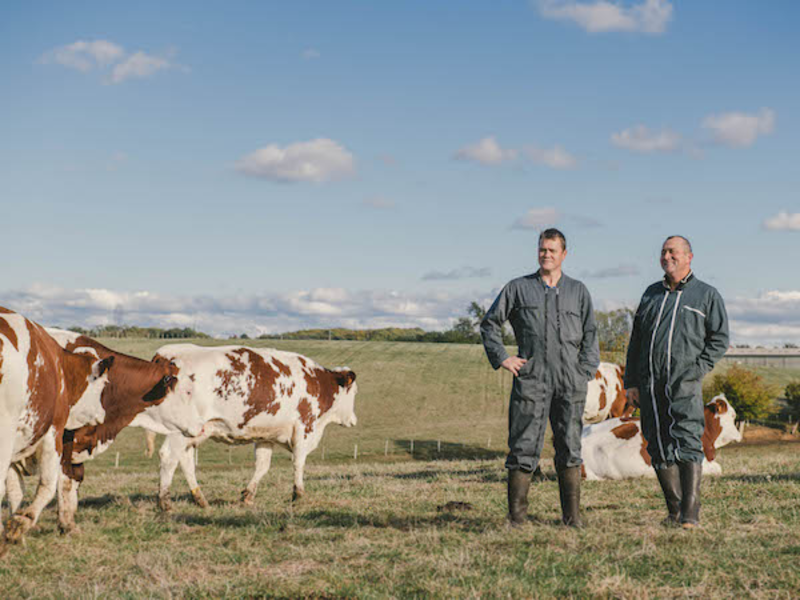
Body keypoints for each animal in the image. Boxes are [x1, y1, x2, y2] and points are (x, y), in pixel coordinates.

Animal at [0, 308, 113, 540]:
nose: (102, 413)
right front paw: (22, 522)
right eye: (103, 384)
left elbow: (14, 491)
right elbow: (48, 484)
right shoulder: (53, 432)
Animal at [136, 342, 358, 510]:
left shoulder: (266, 435)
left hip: (194, 431)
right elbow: (298, 463)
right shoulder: (305, 429)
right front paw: (298, 495)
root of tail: (166, 353)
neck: (319, 384)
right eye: (354, 392)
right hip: (181, 430)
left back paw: (200, 499)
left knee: (185, 460)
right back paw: (164, 502)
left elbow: (263, 465)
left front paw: (248, 495)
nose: (354, 420)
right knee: (168, 457)